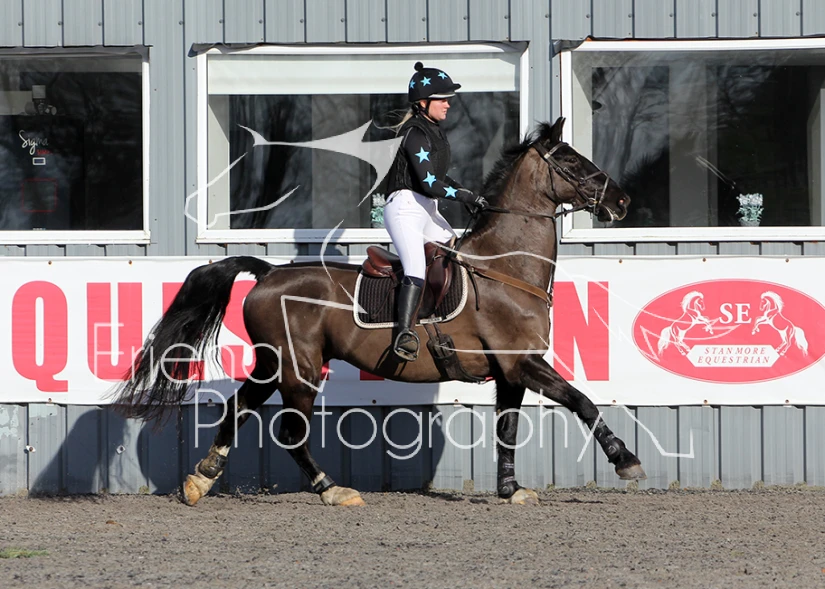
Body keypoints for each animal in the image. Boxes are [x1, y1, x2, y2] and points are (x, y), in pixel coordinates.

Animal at [112, 117, 645, 507]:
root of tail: (268, 273)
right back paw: (333, 490)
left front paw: (511, 490)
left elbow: (508, 430)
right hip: (300, 370)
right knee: (290, 432)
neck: (504, 266)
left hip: (274, 364)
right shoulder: (525, 363)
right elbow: (583, 402)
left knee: (239, 408)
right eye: (572, 160)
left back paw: (200, 480)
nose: (623, 200)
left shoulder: (511, 371)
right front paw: (626, 460)